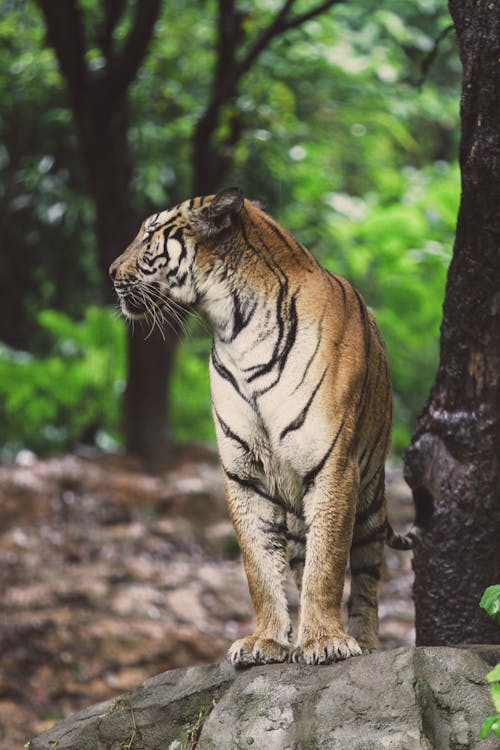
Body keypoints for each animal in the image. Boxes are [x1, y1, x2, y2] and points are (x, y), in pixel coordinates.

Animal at [110, 188, 418, 668]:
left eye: (148, 237)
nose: (110, 273)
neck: (235, 329)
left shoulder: (333, 466)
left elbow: (328, 564)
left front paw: (324, 641)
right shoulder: (244, 474)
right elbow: (259, 566)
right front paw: (267, 641)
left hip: (369, 495)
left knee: (367, 572)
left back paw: (365, 642)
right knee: (299, 559)